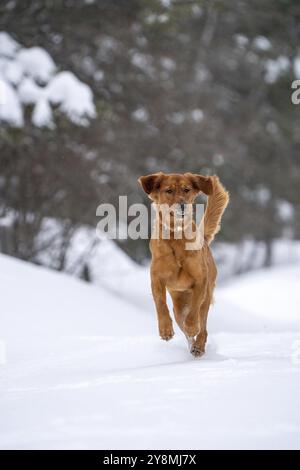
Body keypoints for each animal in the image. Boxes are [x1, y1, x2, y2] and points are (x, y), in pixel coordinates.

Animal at [139, 173, 230, 356]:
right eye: (169, 190)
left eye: (186, 190)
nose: (182, 205)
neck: (177, 237)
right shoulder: (156, 278)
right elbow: (160, 303)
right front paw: (165, 330)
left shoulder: (200, 280)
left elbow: (195, 309)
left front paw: (192, 326)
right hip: (179, 305)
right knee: (181, 319)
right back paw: (191, 344)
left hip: (207, 295)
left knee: (203, 325)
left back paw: (198, 346)